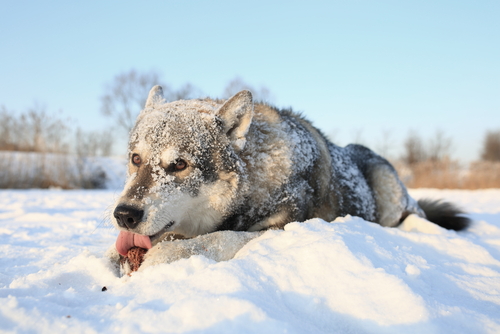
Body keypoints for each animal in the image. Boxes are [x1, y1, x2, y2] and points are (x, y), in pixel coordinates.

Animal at [105, 84, 468, 274]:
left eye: (179, 164)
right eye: (135, 159)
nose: (124, 215)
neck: (257, 174)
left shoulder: (281, 227)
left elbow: (215, 239)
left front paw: (162, 256)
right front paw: (112, 256)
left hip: (389, 190)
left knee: (413, 217)